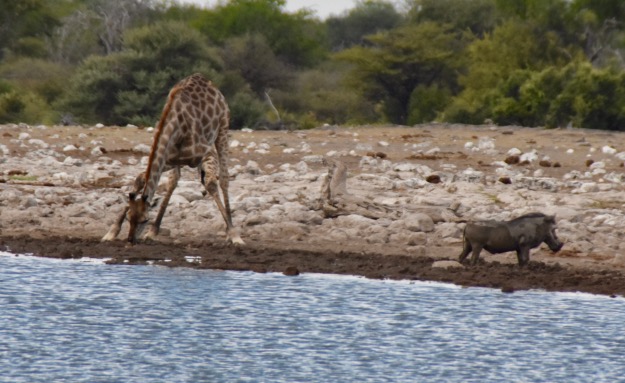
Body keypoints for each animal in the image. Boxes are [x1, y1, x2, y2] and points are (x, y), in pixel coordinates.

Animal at [100, 73, 244, 246]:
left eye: (144, 219)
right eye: (129, 218)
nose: (131, 240)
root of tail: (208, 82)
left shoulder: (206, 153)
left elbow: (210, 183)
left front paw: (234, 234)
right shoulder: (169, 158)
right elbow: (142, 178)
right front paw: (112, 231)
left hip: (223, 128)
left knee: (223, 178)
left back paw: (232, 233)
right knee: (174, 181)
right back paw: (154, 230)